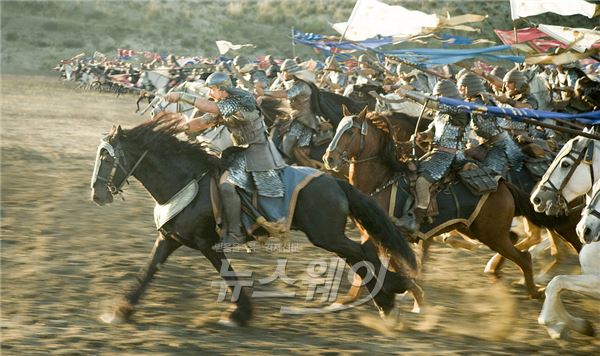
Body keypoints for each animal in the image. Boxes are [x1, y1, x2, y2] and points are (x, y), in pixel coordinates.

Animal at [92, 116, 422, 326]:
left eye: (107, 159)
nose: (97, 194)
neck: (186, 181)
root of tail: (335, 181)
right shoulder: (169, 239)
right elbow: (148, 271)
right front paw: (121, 310)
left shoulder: (206, 243)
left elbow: (227, 275)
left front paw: (238, 314)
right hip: (329, 235)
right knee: (359, 255)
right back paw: (387, 300)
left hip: (326, 234)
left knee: (362, 252)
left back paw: (393, 293)